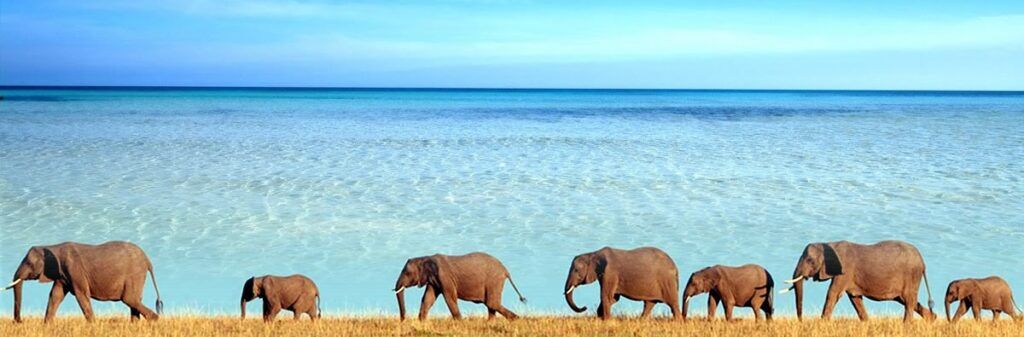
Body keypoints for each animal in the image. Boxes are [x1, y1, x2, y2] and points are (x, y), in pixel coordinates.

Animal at [2, 239, 161, 321]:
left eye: (29, 263)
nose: (19, 321)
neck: (53, 247)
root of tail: (148, 260)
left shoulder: (74, 270)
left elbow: (81, 295)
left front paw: (93, 326)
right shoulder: (63, 275)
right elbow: (55, 295)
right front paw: (47, 326)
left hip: (135, 273)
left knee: (129, 299)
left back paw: (154, 320)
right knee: (134, 300)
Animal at [387, 251, 524, 319]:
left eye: (407, 273)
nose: (403, 320)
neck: (425, 257)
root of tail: (505, 270)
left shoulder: (445, 277)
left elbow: (449, 297)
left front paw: (460, 322)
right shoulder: (433, 280)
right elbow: (428, 298)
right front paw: (421, 321)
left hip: (494, 280)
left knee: (491, 303)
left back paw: (516, 319)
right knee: (490, 304)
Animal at [774, 238, 937, 319]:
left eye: (810, 260)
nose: (800, 321)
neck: (830, 243)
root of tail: (923, 262)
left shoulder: (844, 272)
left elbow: (832, 294)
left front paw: (822, 322)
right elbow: (855, 299)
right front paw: (867, 323)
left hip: (912, 275)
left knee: (908, 301)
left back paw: (907, 326)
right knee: (908, 301)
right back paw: (932, 319)